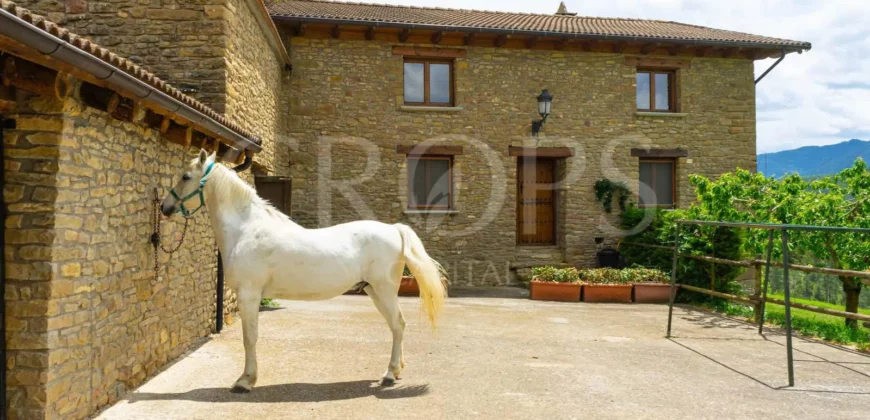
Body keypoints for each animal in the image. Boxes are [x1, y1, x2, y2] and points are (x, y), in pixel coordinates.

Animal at [162, 149, 450, 392]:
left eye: (186, 176)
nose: (165, 207)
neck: (246, 228)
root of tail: (393, 229)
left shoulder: (249, 295)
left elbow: (250, 338)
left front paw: (244, 381)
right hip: (374, 291)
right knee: (395, 326)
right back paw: (395, 372)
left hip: (384, 289)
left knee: (398, 324)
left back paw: (389, 375)